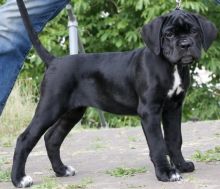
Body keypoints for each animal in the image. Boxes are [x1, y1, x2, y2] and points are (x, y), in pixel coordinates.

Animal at [12, 0, 217, 188]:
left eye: (194, 31)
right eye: (169, 34)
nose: (185, 44)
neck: (171, 66)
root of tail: (54, 61)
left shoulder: (173, 108)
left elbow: (174, 139)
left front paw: (181, 165)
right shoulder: (150, 111)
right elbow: (158, 144)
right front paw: (166, 173)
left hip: (73, 111)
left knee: (52, 138)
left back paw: (62, 170)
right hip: (50, 107)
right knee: (24, 139)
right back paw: (19, 179)